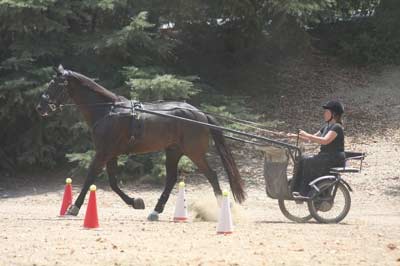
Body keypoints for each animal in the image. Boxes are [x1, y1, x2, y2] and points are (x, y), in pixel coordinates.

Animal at [36, 65, 245, 220]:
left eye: (55, 84)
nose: (40, 107)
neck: (107, 111)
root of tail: (200, 114)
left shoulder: (103, 152)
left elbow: (90, 178)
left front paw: (74, 207)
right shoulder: (111, 154)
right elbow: (113, 183)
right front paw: (135, 202)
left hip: (194, 152)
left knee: (212, 176)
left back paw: (222, 208)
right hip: (173, 151)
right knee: (171, 179)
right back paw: (156, 211)